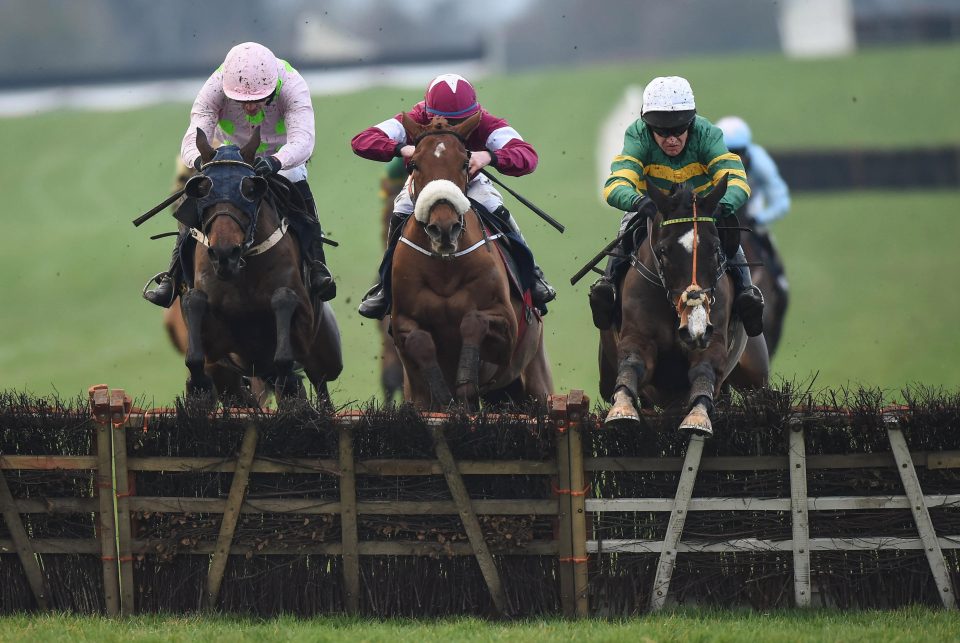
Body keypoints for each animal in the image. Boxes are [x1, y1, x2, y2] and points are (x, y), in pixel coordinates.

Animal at [178, 127, 344, 402]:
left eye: (249, 188)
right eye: (201, 188)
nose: (225, 253)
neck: (242, 270)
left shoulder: (304, 326)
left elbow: (283, 302)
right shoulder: (219, 350)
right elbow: (195, 310)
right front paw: (197, 385)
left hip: (326, 356)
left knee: (320, 387)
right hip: (232, 379)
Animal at [604, 176, 768, 438]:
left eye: (715, 249)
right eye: (663, 251)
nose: (694, 329)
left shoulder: (713, 337)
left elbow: (704, 371)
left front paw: (698, 418)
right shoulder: (637, 335)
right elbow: (632, 363)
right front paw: (622, 409)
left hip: (754, 370)